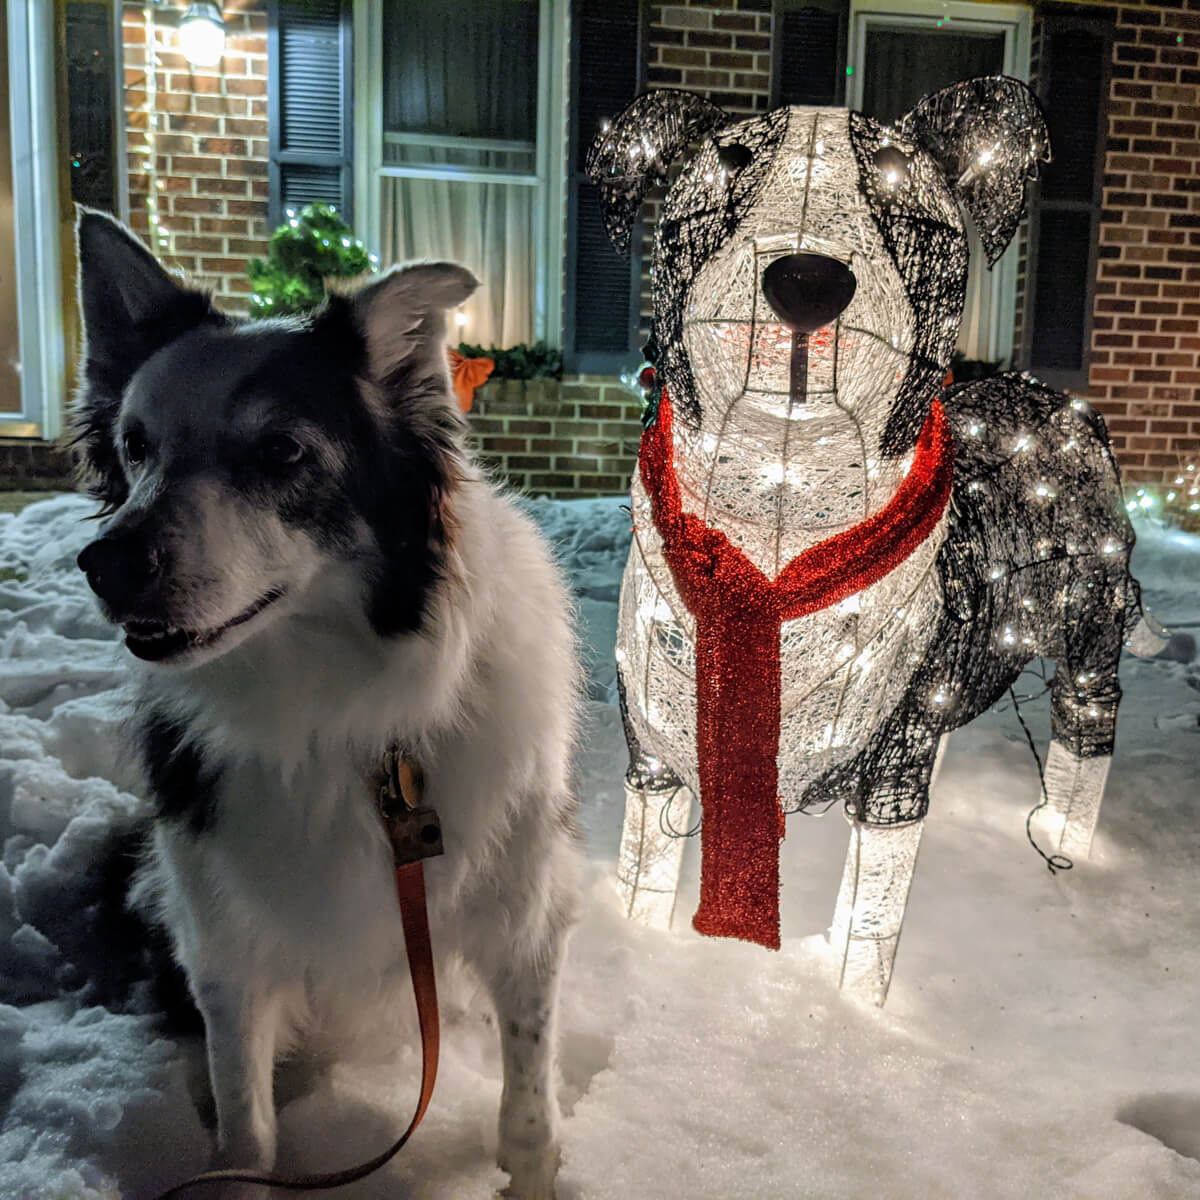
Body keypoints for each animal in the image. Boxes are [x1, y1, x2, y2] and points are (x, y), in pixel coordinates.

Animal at [75, 211, 580, 1195]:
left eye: (281, 451)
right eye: (135, 446)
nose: (105, 565)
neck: (331, 704)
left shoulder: (524, 912)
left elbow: (530, 1090)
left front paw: (532, 1166)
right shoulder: (223, 941)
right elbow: (246, 1125)